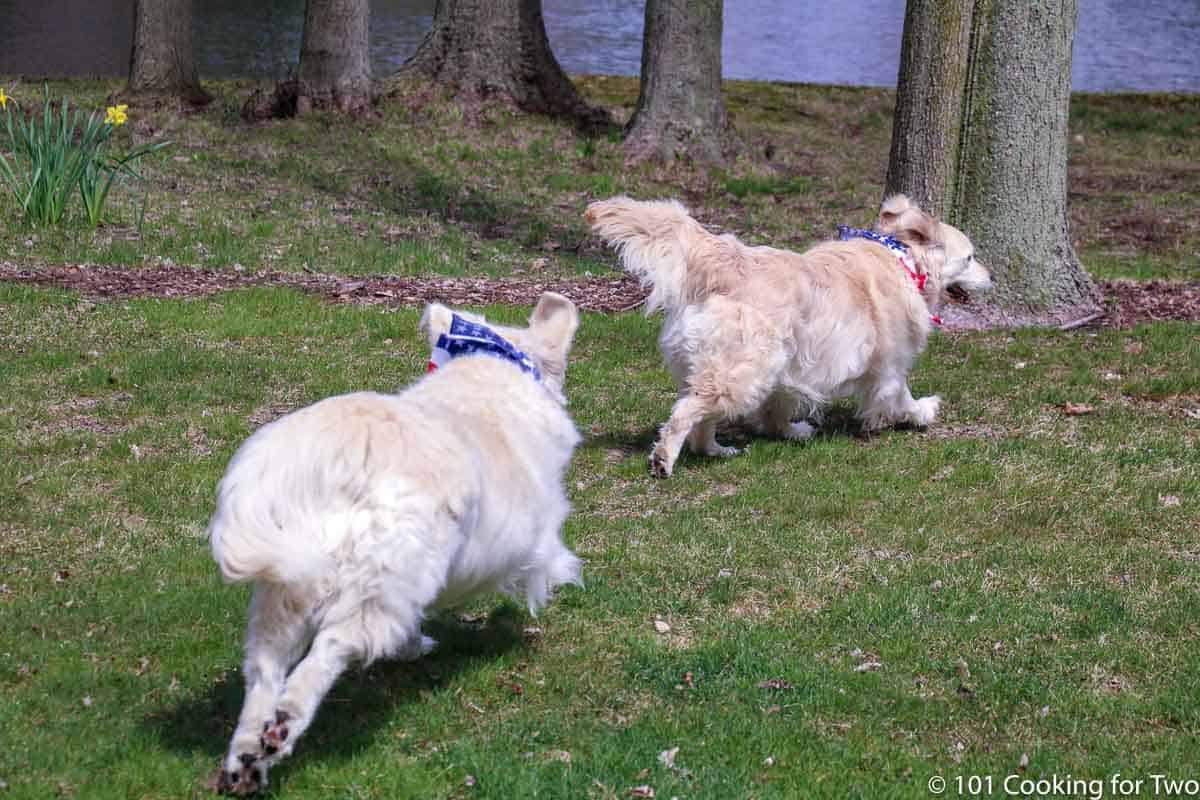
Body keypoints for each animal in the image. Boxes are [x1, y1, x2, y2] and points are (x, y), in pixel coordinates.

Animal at [208, 293, 583, 796]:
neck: (494, 369)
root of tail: (333, 452)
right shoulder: (529, 534)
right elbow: (543, 563)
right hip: (378, 583)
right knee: (327, 652)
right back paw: (286, 721)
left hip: (284, 594)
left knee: (264, 675)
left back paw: (249, 758)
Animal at [585, 194, 988, 479]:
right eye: (969, 258)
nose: (993, 277)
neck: (903, 261)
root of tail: (723, 256)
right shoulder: (890, 365)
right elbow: (901, 397)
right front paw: (922, 411)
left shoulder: (794, 365)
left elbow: (778, 407)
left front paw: (790, 431)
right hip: (744, 370)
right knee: (685, 413)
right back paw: (664, 460)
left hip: (730, 365)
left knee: (700, 415)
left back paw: (715, 450)